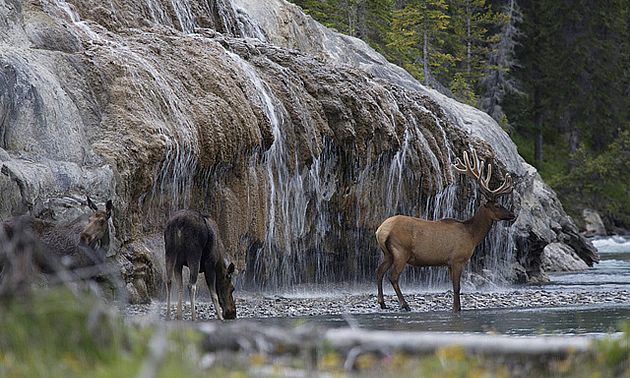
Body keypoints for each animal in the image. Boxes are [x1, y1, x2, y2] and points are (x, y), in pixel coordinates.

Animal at [378, 149, 516, 312]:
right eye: (497, 206)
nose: (512, 214)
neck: (472, 235)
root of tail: (381, 230)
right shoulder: (457, 259)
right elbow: (457, 287)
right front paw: (456, 309)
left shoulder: (449, 263)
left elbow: (454, 287)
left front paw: (455, 307)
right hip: (401, 251)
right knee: (393, 276)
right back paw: (405, 305)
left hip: (387, 253)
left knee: (379, 272)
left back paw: (382, 302)